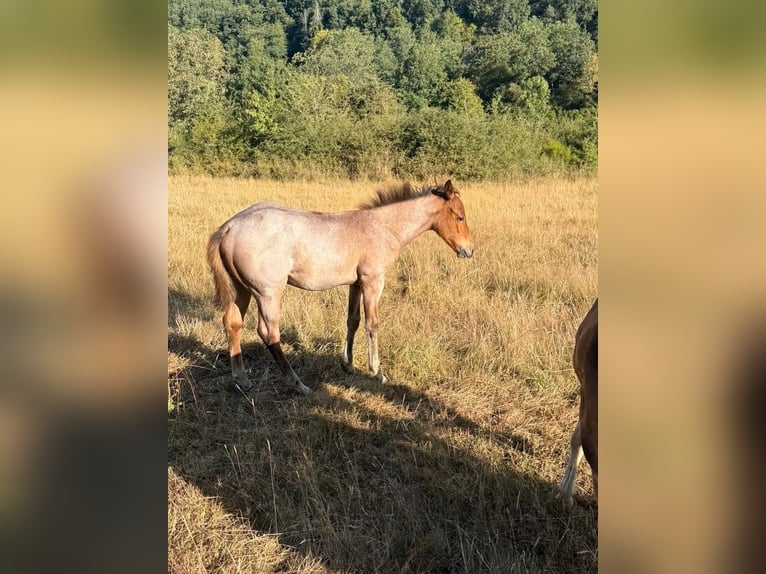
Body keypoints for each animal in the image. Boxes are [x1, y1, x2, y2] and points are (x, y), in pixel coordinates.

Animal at [206, 180, 474, 395]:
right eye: (460, 217)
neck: (384, 227)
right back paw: (298, 384)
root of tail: (230, 227)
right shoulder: (373, 281)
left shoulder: (355, 284)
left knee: (233, 323)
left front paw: (348, 365)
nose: (469, 250)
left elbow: (352, 320)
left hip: (241, 290)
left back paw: (242, 379)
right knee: (268, 333)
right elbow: (372, 324)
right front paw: (377, 371)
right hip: (268, 293)